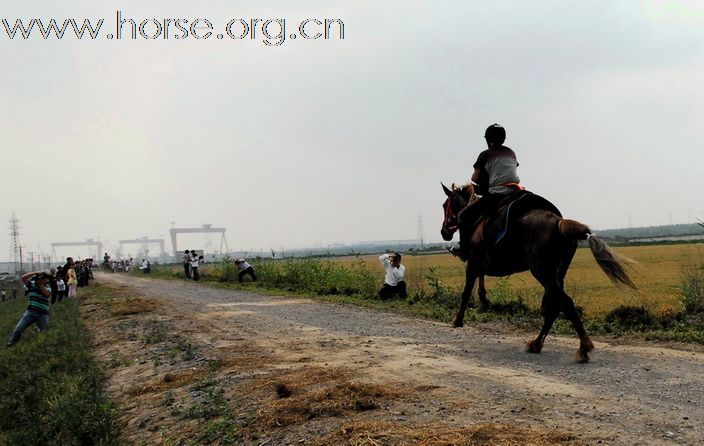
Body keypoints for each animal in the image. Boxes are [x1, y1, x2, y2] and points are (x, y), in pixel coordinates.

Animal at [438, 184, 636, 362]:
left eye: (445, 205)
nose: (444, 232)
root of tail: (559, 223)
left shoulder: (472, 264)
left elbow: (466, 293)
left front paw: (458, 320)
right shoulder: (479, 265)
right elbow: (480, 280)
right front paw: (483, 301)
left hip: (542, 272)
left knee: (565, 303)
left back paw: (583, 347)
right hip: (556, 275)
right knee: (554, 307)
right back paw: (537, 343)